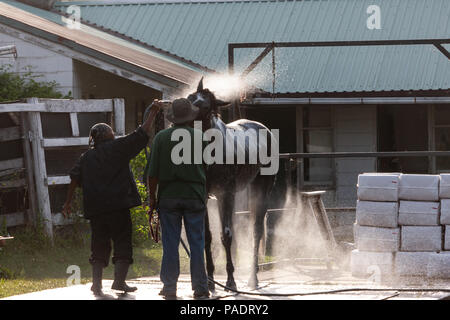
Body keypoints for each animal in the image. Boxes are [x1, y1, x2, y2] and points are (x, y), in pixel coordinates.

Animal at [186, 77, 278, 290]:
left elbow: (226, 236)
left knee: (256, 230)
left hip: (262, 188)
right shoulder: (204, 197)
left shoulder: (225, 194)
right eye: (191, 97)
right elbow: (207, 237)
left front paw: (231, 281)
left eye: (205, 106)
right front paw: (210, 282)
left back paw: (253, 278)